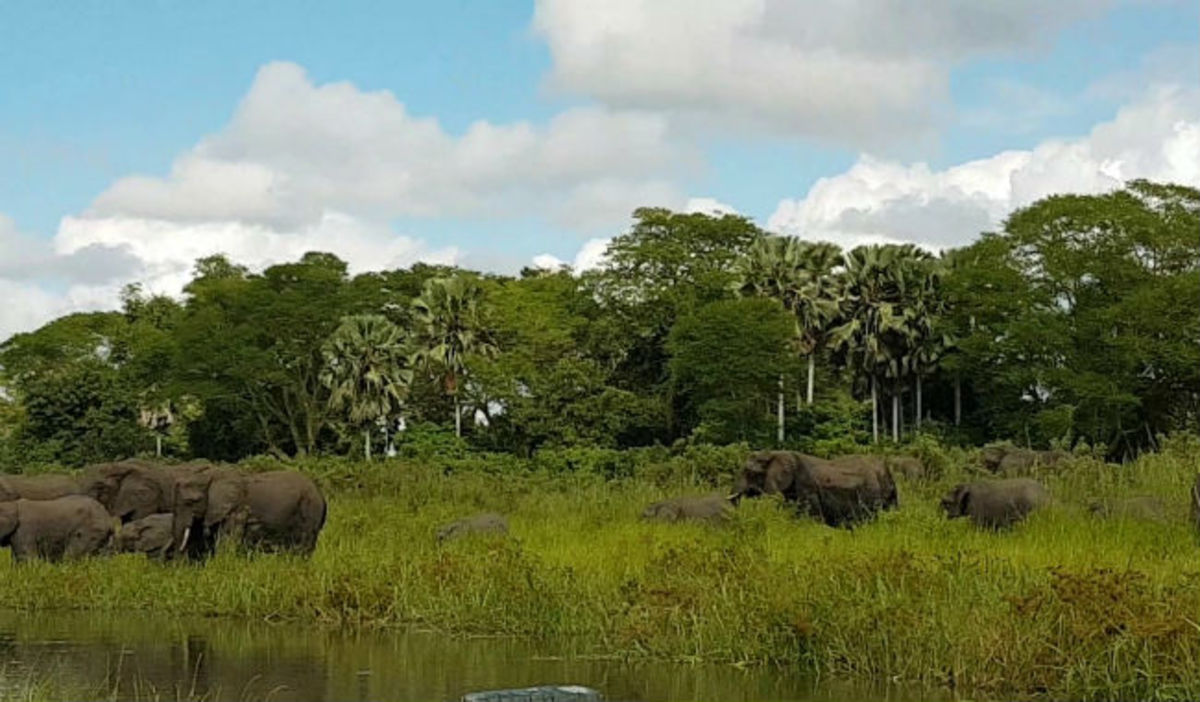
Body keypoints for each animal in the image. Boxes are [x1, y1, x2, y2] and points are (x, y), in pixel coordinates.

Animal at [171, 465, 326, 559]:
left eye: (192, 502)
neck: (211, 475)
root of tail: (321, 495)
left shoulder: (236, 509)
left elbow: (228, 540)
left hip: (309, 509)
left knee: (304, 543)